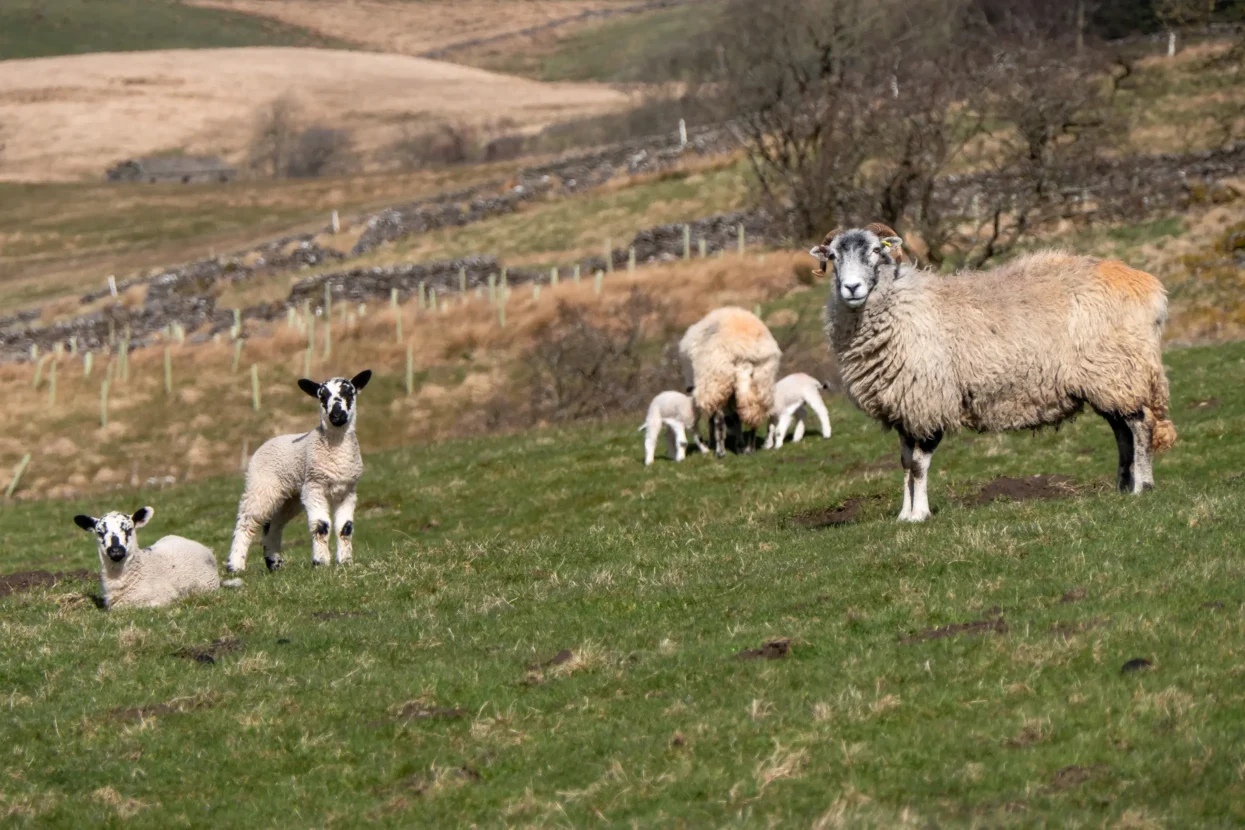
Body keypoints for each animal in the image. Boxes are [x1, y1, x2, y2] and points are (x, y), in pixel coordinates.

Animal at [229, 370, 371, 572]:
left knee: (274, 524)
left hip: (291, 496)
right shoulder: (314, 487)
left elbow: (345, 528)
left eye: (349, 393)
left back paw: (274, 563)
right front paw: (321, 563)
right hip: (262, 486)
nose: (337, 415)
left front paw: (345, 562)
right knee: (246, 520)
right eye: (322, 396)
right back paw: (235, 565)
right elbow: (321, 526)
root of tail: (267, 442)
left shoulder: (347, 491)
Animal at [682, 307, 776, 457]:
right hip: (762, 382)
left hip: (717, 381)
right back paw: (749, 448)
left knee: (719, 420)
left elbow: (716, 420)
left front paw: (716, 445)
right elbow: (735, 418)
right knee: (754, 414)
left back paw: (721, 451)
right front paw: (740, 445)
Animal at [806, 225, 1175, 525]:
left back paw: (1143, 487)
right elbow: (905, 463)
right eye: (834, 256)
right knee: (1122, 430)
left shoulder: (930, 401)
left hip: (1119, 370)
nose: (851, 288)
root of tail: (1149, 287)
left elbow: (919, 465)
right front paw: (904, 515)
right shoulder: (904, 408)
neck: (900, 306)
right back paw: (1122, 487)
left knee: (1141, 425)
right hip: (1106, 381)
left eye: (874, 251)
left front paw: (920, 515)